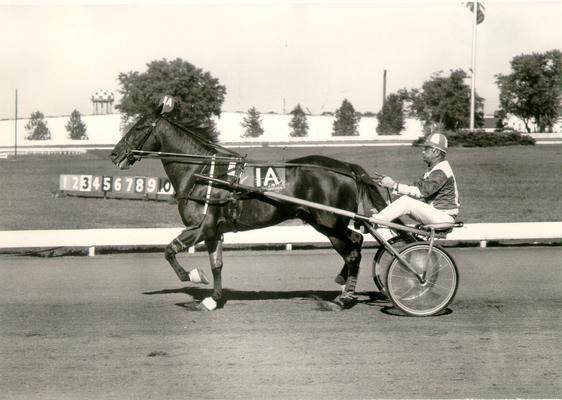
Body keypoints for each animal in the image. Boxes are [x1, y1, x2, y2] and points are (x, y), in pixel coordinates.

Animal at [110, 99, 394, 310]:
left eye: (139, 126)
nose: (114, 154)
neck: (203, 173)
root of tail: (346, 168)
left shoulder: (200, 227)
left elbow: (169, 250)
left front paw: (193, 276)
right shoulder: (213, 232)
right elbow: (216, 264)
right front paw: (213, 299)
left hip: (329, 222)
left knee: (353, 250)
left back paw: (345, 297)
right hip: (324, 222)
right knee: (356, 241)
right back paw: (343, 283)